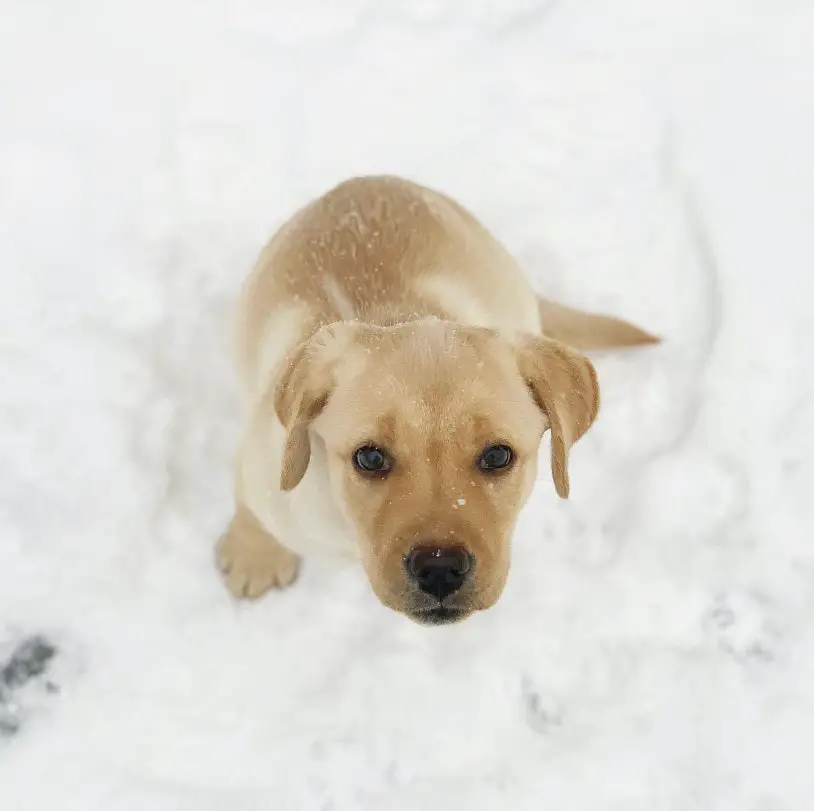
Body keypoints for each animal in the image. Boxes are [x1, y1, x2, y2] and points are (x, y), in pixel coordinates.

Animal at [215, 174, 656, 624]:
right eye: (369, 458)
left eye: (498, 455)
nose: (440, 568)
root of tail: (366, 179)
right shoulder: (264, 466)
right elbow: (251, 503)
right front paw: (255, 556)